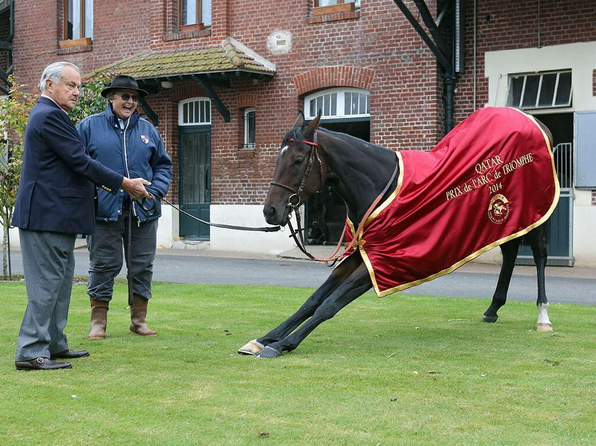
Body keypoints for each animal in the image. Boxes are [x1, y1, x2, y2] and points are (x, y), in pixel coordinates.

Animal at [237, 108, 560, 358]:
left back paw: (543, 316)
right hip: (505, 219)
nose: (271, 211)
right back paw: (492, 309)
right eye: (277, 158)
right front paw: (265, 338)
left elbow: (329, 305)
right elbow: (313, 300)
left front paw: (283, 344)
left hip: (535, 211)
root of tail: (535, 121)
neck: (379, 186)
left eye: (298, 160)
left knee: (540, 256)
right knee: (510, 252)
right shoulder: (361, 254)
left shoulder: (382, 262)